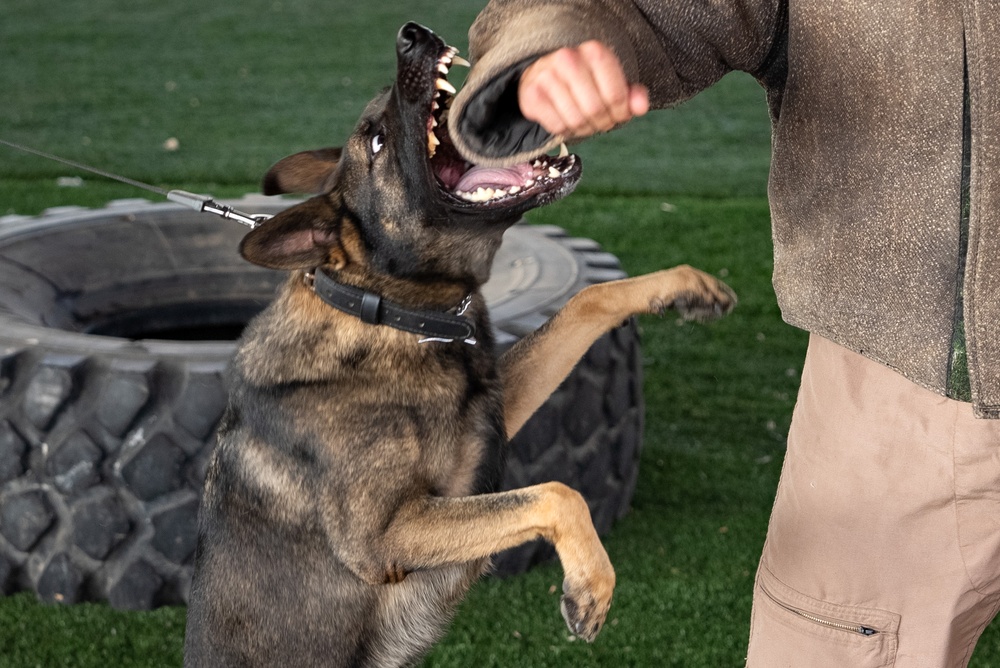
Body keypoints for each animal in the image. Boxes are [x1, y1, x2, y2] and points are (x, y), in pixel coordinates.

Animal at [186, 22, 736, 668]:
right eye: (376, 142)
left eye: (379, 110)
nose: (411, 34)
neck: (393, 316)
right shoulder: (386, 536)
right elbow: (556, 493)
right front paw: (591, 583)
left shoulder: (494, 416)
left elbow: (586, 300)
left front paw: (685, 286)